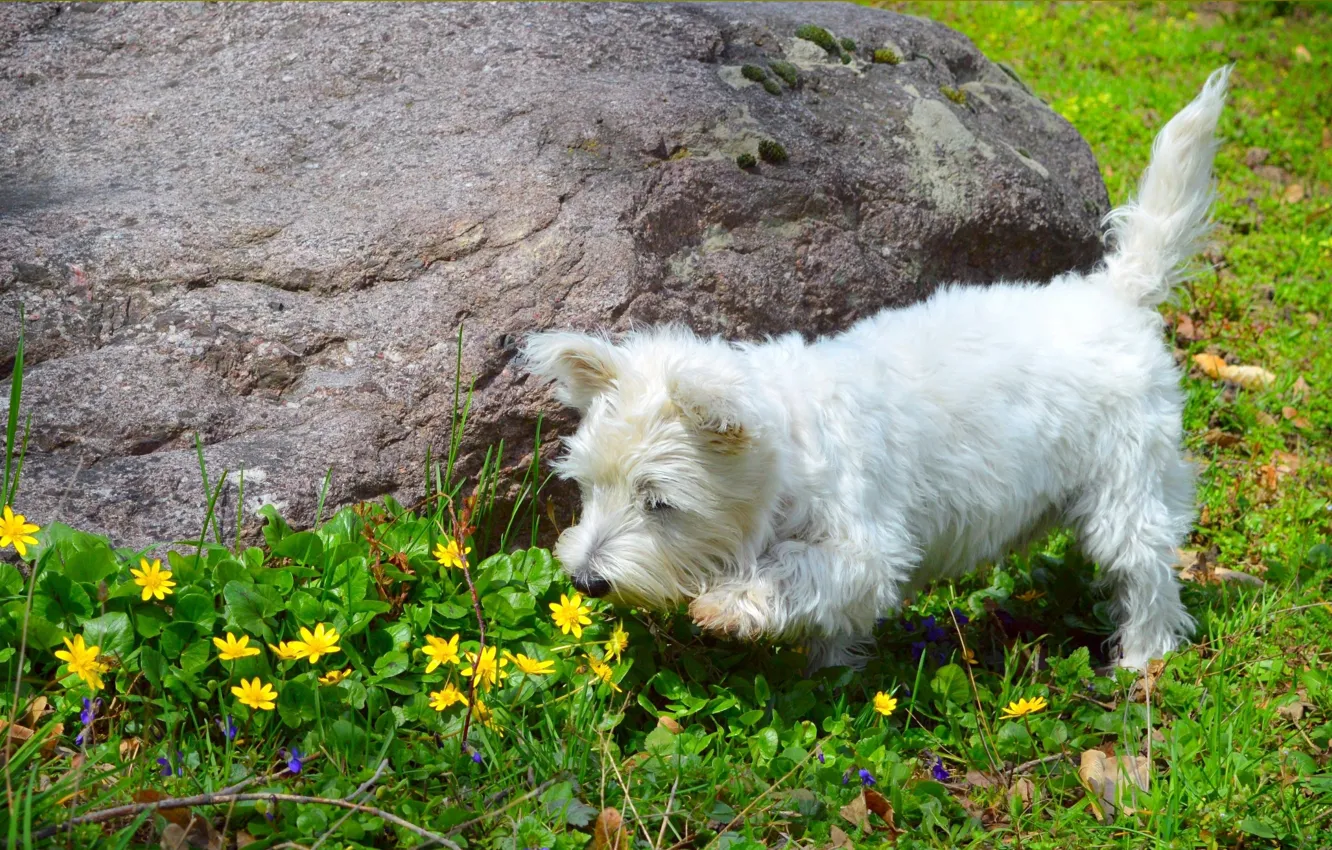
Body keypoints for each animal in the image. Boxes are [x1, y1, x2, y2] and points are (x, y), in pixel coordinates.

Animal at [524, 68, 1230, 671]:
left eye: (660, 502)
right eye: (587, 487)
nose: (585, 581)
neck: (791, 455)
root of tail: (1116, 293)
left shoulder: (867, 546)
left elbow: (797, 570)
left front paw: (728, 603)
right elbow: (830, 625)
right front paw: (831, 670)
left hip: (1127, 488)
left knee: (1147, 574)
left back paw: (1141, 662)